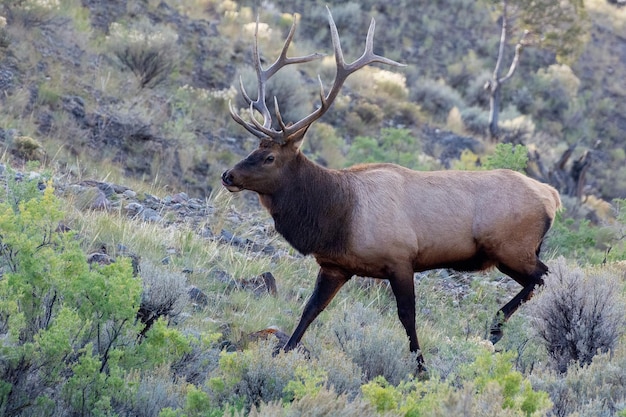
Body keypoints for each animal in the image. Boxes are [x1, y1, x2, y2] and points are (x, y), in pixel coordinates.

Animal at [221, 7, 560, 370]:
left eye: (269, 157)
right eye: (253, 148)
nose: (228, 175)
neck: (336, 217)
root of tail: (551, 196)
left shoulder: (400, 258)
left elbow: (407, 316)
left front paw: (421, 368)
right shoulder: (335, 266)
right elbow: (311, 309)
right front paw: (284, 350)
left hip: (511, 248)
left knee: (543, 276)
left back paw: (494, 327)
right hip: (511, 253)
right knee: (539, 280)